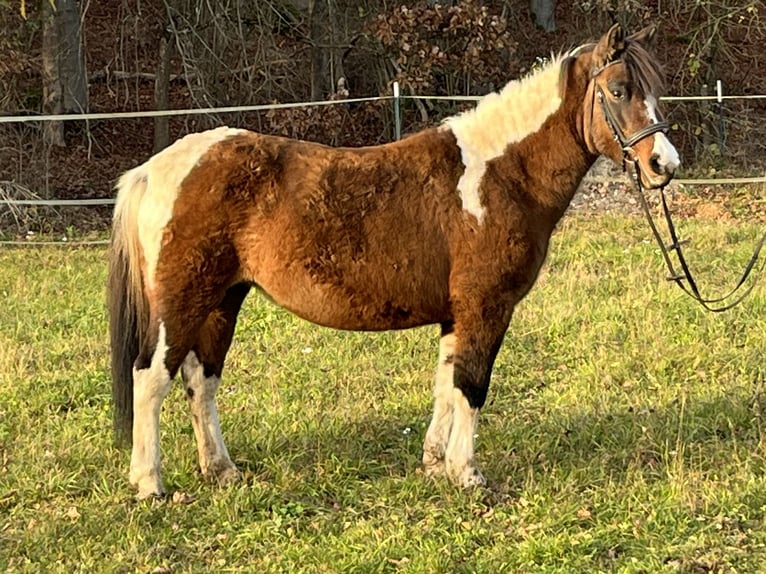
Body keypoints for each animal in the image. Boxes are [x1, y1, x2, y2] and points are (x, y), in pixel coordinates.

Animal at [108, 24, 680, 499]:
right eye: (619, 90)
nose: (664, 164)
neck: (500, 175)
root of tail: (157, 167)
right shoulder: (487, 307)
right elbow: (472, 385)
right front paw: (468, 474)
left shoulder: (457, 314)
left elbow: (447, 383)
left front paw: (435, 463)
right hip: (183, 302)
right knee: (151, 378)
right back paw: (149, 483)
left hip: (223, 300)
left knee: (201, 379)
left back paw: (221, 471)